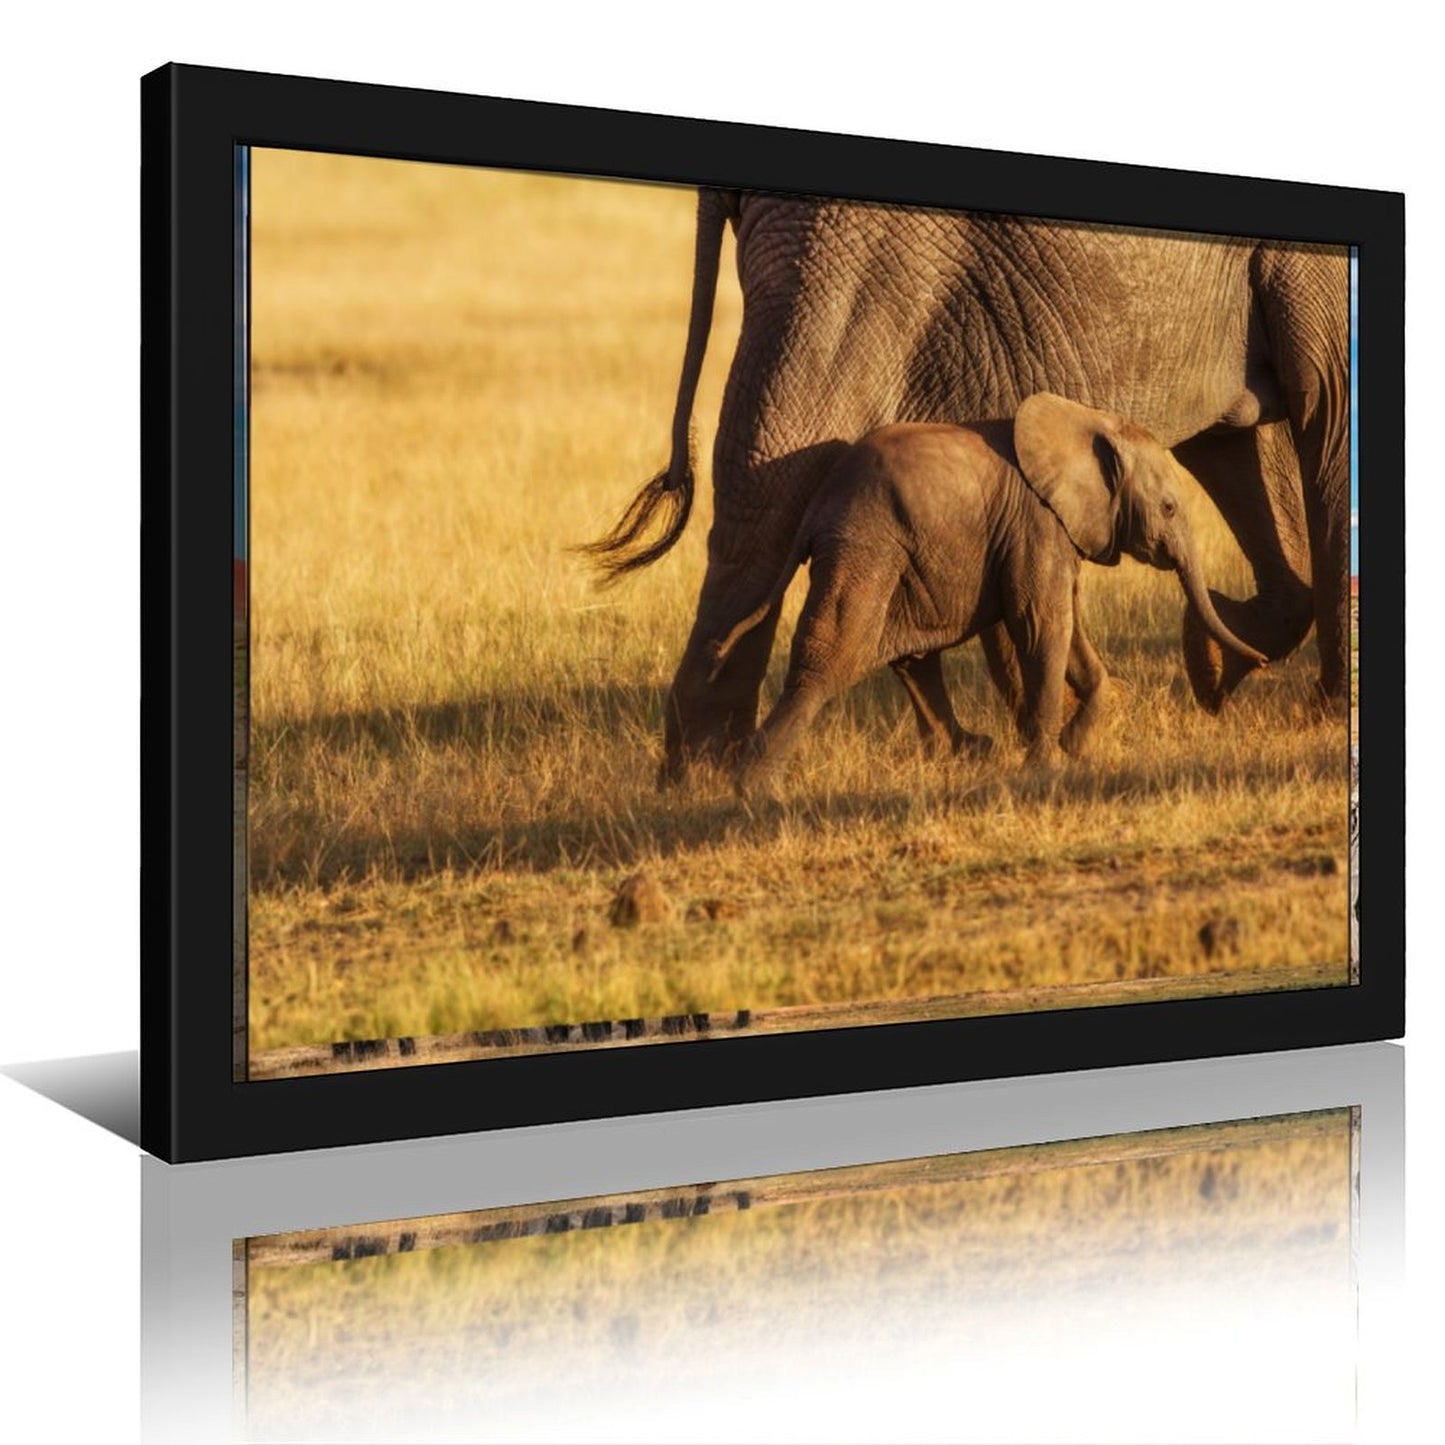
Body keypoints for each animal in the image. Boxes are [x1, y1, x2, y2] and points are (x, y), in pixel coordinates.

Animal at [706, 394, 1268, 793]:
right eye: (1169, 508)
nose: (1261, 663)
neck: (1089, 420)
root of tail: (816, 507)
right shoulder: (1035, 521)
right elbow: (1043, 625)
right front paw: (1045, 767)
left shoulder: (1050, 532)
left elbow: (1067, 624)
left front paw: (1076, 745)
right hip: (867, 541)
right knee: (836, 651)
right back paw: (753, 788)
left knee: (911, 655)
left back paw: (968, 750)